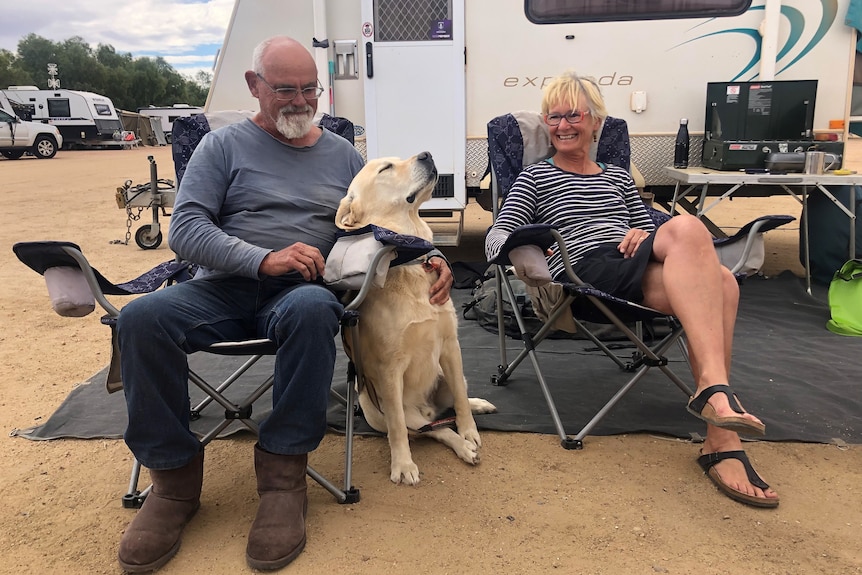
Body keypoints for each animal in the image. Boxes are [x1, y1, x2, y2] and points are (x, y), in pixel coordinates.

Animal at [338, 151, 500, 484]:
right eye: (385, 168)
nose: (427, 154)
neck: (408, 261)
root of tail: (427, 411)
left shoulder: (451, 346)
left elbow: (461, 401)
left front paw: (470, 430)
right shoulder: (389, 369)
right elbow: (398, 429)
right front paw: (402, 464)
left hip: (447, 376)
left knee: (453, 405)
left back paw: (475, 413)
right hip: (379, 409)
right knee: (432, 431)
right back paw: (460, 447)